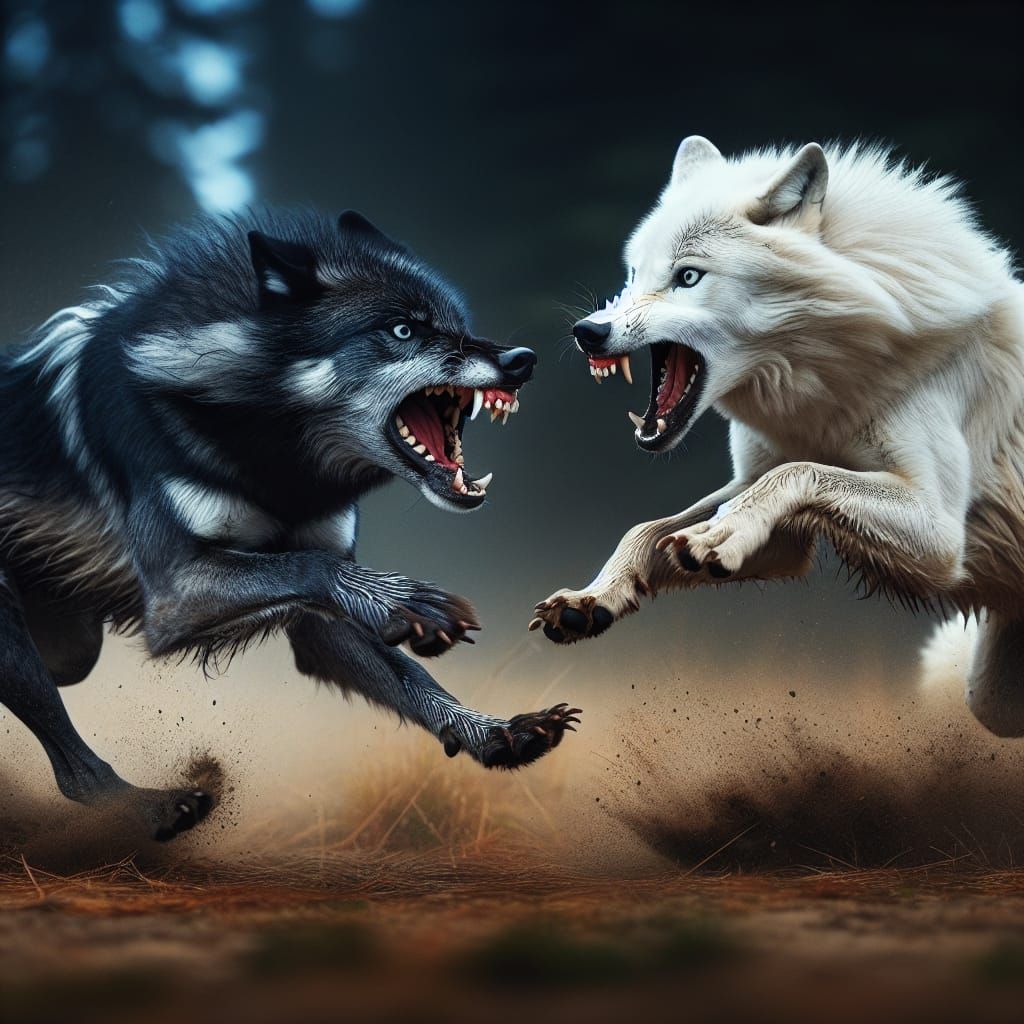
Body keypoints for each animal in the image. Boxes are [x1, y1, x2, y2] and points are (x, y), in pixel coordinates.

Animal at [1, 208, 579, 840]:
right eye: (403, 331)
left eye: (458, 324)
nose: (522, 360)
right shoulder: (175, 596)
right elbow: (312, 567)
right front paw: (415, 605)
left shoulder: (316, 624)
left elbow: (409, 676)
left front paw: (497, 733)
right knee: (73, 772)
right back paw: (153, 808)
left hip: (70, 652)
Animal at [532, 136, 1024, 737]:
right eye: (633, 274)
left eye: (688, 277)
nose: (588, 332)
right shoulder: (771, 516)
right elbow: (646, 529)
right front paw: (592, 597)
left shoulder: (940, 535)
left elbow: (795, 474)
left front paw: (718, 534)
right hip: (995, 697)